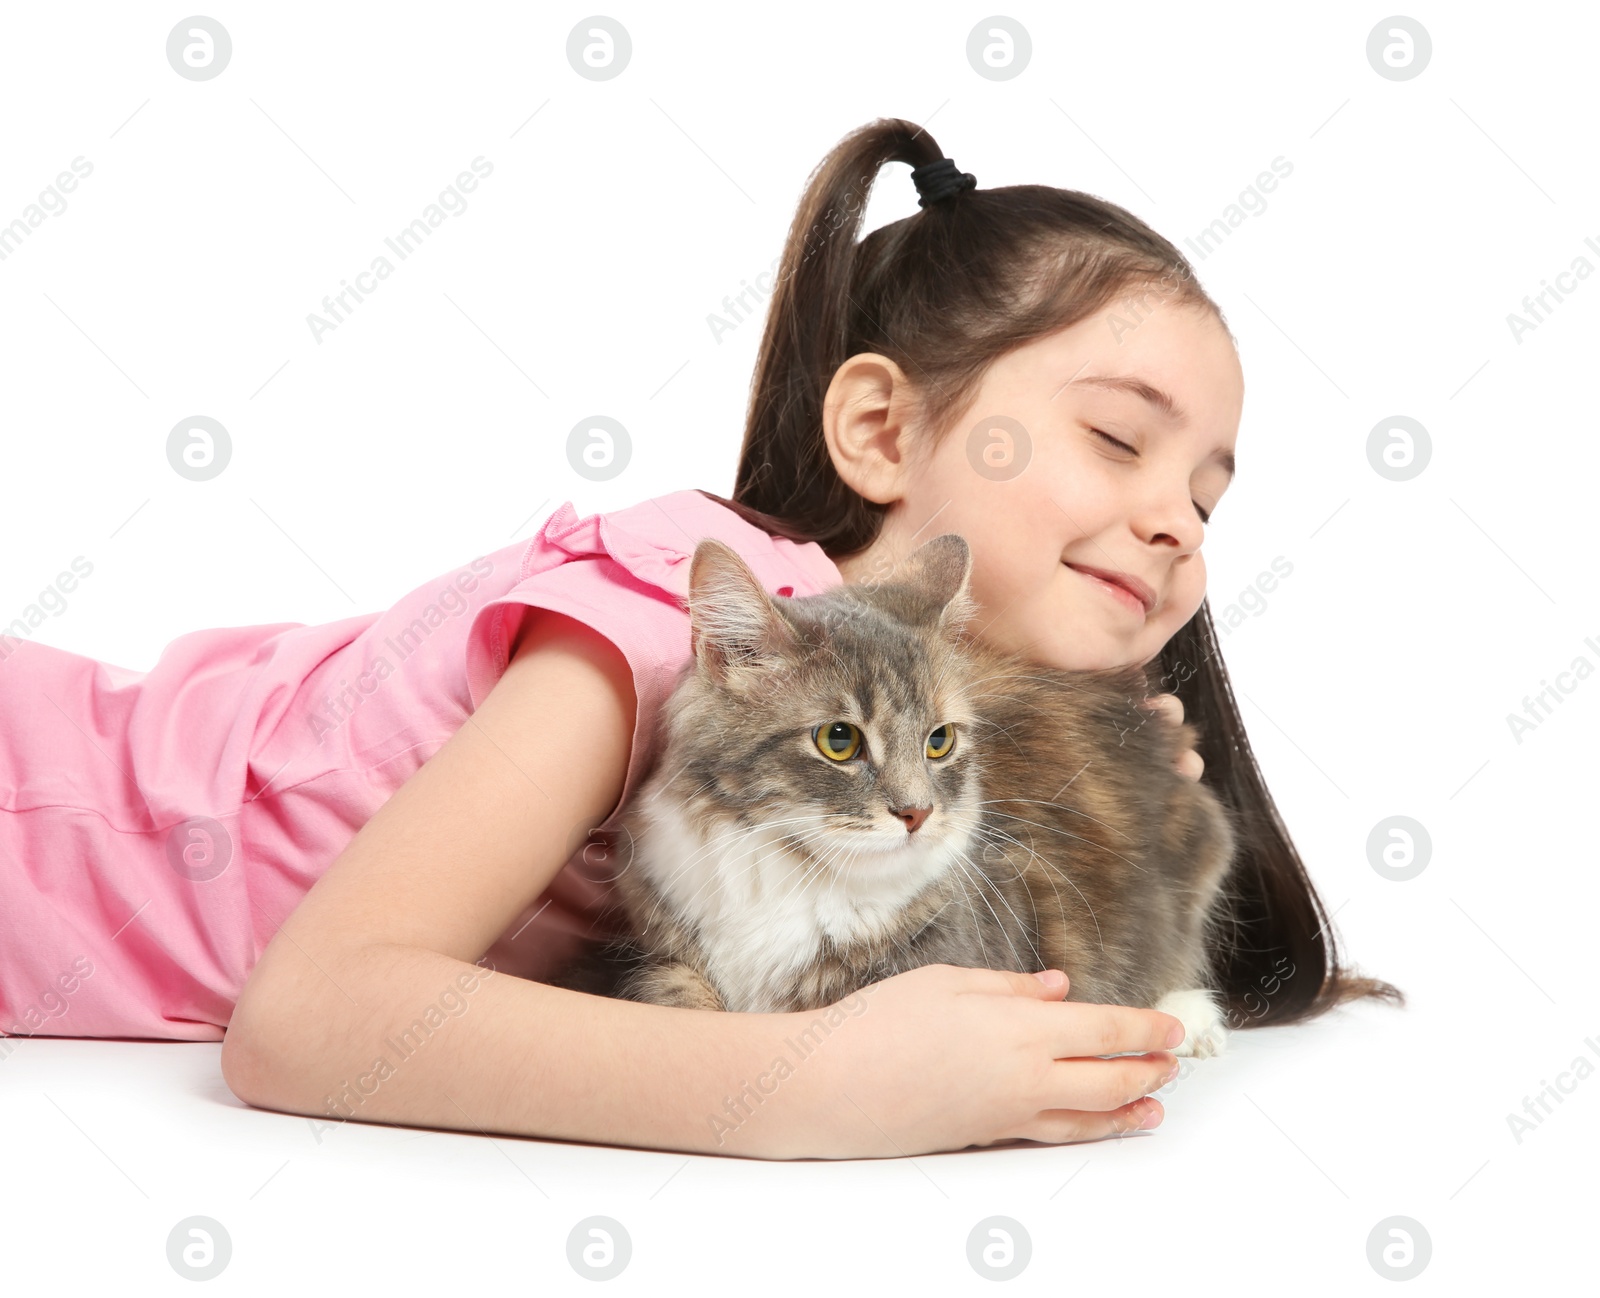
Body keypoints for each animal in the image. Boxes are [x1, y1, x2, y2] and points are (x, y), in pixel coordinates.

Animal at [560, 528, 1235, 1056]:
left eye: (939, 740)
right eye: (838, 740)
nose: (918, 812)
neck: (790, 874)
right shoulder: (662, 950)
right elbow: (679, 1006)